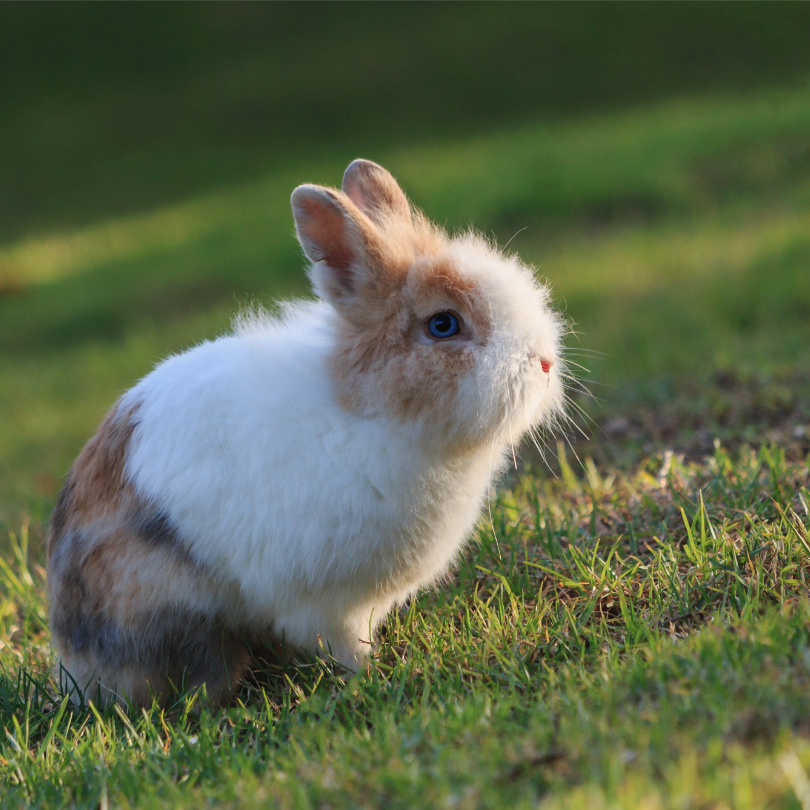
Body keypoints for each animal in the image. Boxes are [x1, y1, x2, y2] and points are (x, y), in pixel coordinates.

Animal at [46, 159, 566, 707]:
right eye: (443, 325)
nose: (545, 363)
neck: (373, 415)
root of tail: (76, 664)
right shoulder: (326, 602)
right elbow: (345, 644)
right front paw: (371, 677)